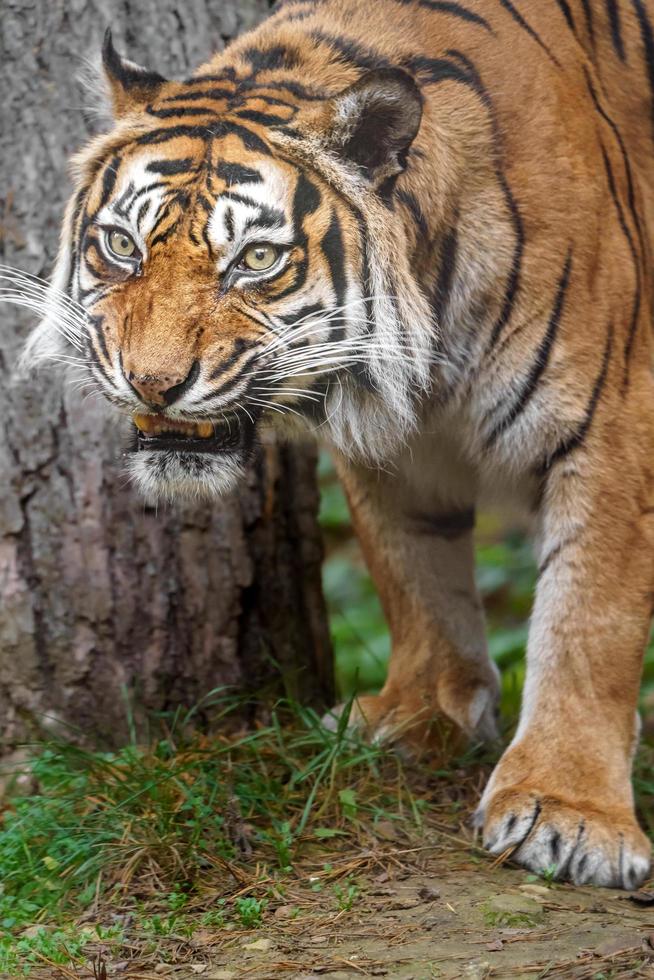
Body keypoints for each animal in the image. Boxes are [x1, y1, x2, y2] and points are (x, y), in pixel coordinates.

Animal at [11, 0, 654, 888]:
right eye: (122, 246)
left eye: (255, 259)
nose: (153, 383)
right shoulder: (394, 448)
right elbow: (412, 572)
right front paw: (422, 715)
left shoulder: (613, 426)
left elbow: (590, 619)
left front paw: (570, 812)